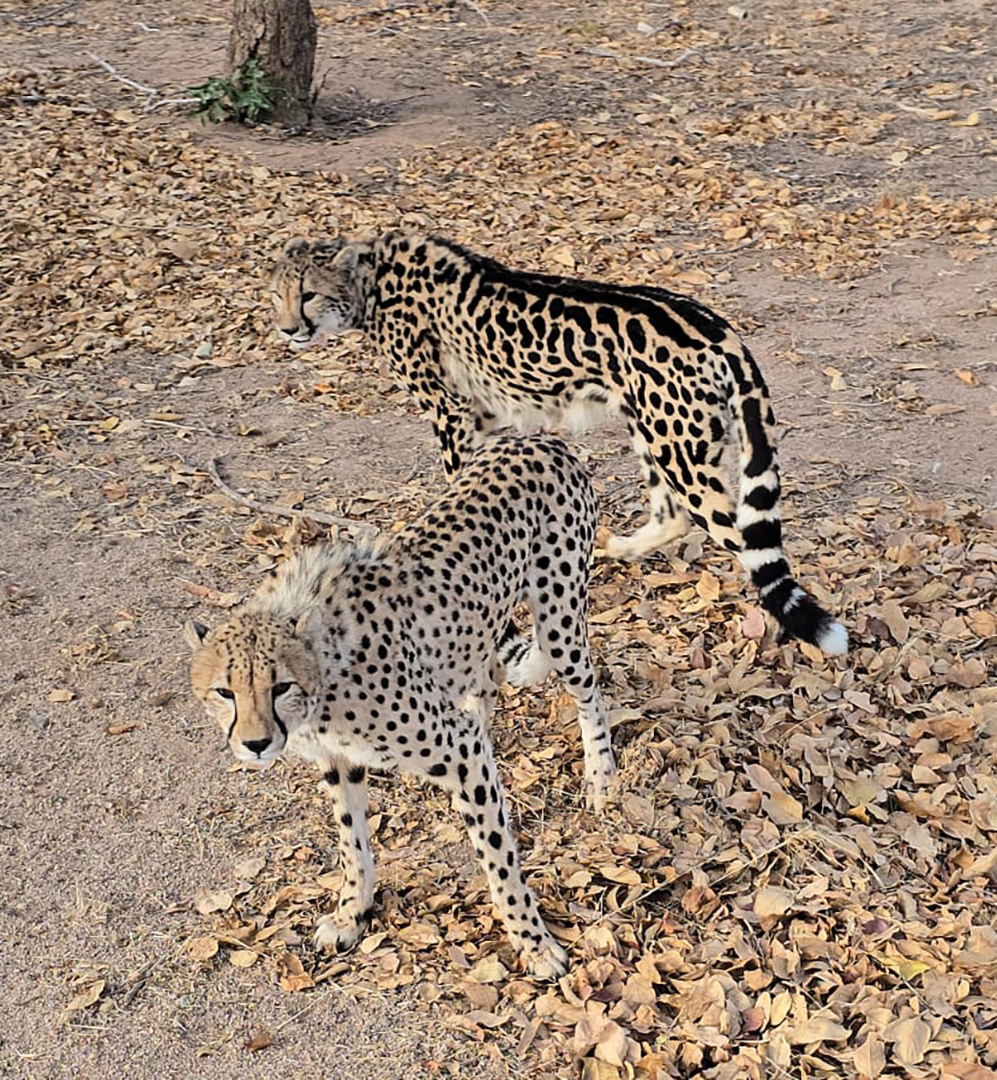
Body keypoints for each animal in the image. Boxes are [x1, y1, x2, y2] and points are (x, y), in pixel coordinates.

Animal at [184, 435, 615, 980]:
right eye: (225, 692)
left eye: (279, 686)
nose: (255, 744)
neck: (324, 673)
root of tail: (539, 439)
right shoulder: (339, 760)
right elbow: (352, 843)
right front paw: (351, 912)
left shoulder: (456, 748)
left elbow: (498, 860)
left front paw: (534, 944)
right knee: (485, 681)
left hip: (559, 621)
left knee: (588, 691)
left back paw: (602, 779)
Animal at [271, 230, 847, 656]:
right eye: (278, 294)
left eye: (309, 294)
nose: (287, 329)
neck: (372, 280)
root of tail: (721, 330)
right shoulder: (486, 414)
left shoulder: (451, 412)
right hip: (654, 434)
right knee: (677, 515)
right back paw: (619, 548)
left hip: (676, 450)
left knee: (744, 543)